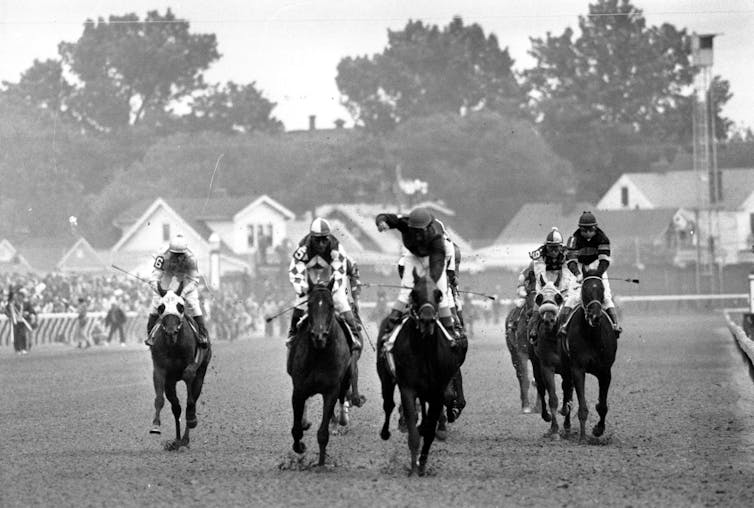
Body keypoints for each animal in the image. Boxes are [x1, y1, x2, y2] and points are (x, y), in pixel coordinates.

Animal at [149, 288, 210, 450]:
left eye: (180, 306)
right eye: (161, 307)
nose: (171, 332)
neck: (173, 346)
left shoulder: (193, 366)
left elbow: (189, 387)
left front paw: (192, 418)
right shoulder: (160, 371)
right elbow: (160, 399)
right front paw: (155, 425)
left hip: (202, 372)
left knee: (192, 397)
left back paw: (185, 436)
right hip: (170, 383)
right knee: (176, 408)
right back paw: (177, 440)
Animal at [286, 276, 352, 466]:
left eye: (330, 305)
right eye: (309, 304)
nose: (319, 336)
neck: (319, 354)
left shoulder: (331, 390)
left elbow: (323, 433)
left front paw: (321, 463)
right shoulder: (299, 390)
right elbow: (296, 429)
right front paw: (300, 447)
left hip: (347, 377)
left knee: (343, 396)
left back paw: (341, 420)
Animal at [376, 270, 464, 476]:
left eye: (439, 294)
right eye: (414, 293)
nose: (427, 319)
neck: (424, 351)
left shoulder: (438, 390)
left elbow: (430, 429)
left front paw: (422, 464)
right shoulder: (408, 388)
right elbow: (413, 430)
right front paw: (414, 467)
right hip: (385, 378)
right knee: (388, 404)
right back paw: (386, 432)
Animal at [564, 274, 616, 440]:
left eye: (602, 289)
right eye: (584, 290)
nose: (595, 316)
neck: (592, 336)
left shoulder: (605, 371)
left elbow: (602, 405)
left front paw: (598, 429)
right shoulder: (577, 369)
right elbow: (582, 405)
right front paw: (582, 436)